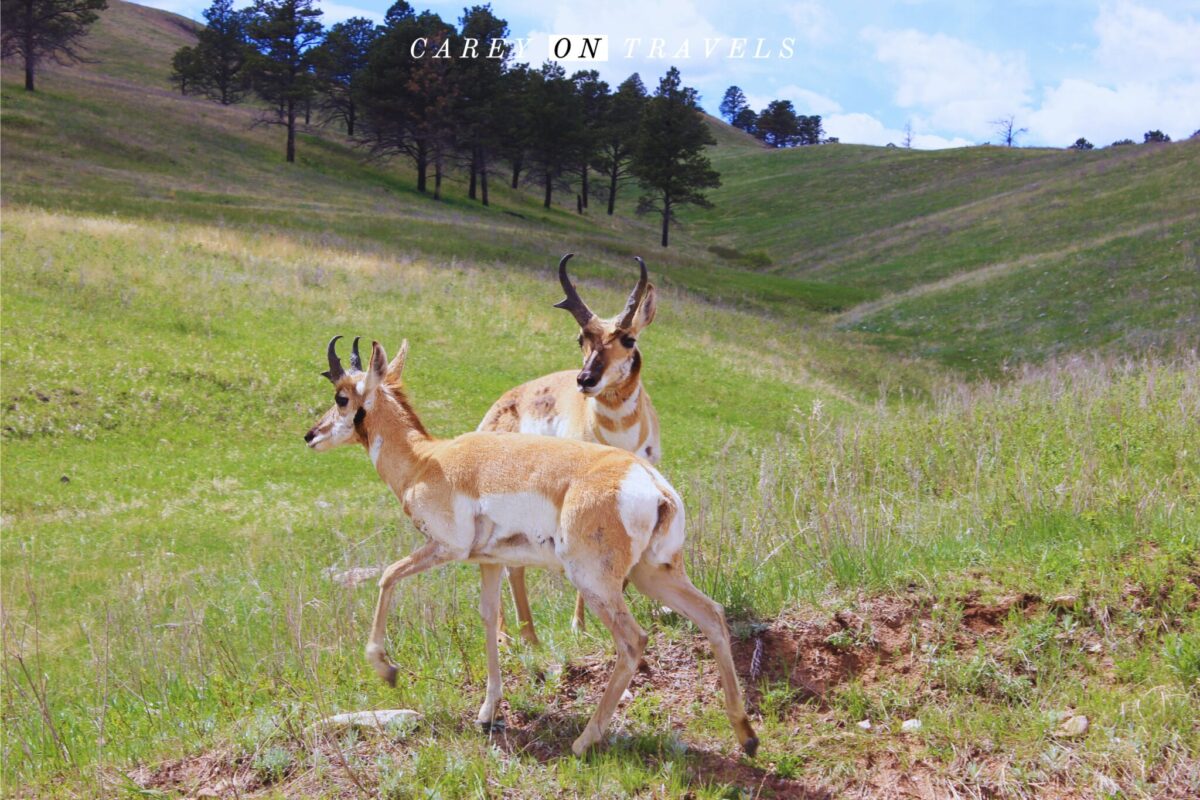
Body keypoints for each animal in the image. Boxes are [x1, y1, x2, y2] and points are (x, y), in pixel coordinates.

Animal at [304, 336, 758, 757]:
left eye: (341, 396)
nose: (310, 435)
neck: (427, 460)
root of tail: (651, 483)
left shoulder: (446, 548)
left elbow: (387, 576)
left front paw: (386, 669)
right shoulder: (488, 563)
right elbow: (489, 620)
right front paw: (487, 713)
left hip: (597, 584)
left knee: (633, 641)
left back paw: (584, 741)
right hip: (655, 574)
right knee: (712, 615)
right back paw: (746, 735)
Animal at [479, 254, 660, 643]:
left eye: (628, 338)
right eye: (582, 338)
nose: (585, 379)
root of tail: (498, 407)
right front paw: (579, 626)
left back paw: (522, 636)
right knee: (504, 562)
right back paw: (513, 636)